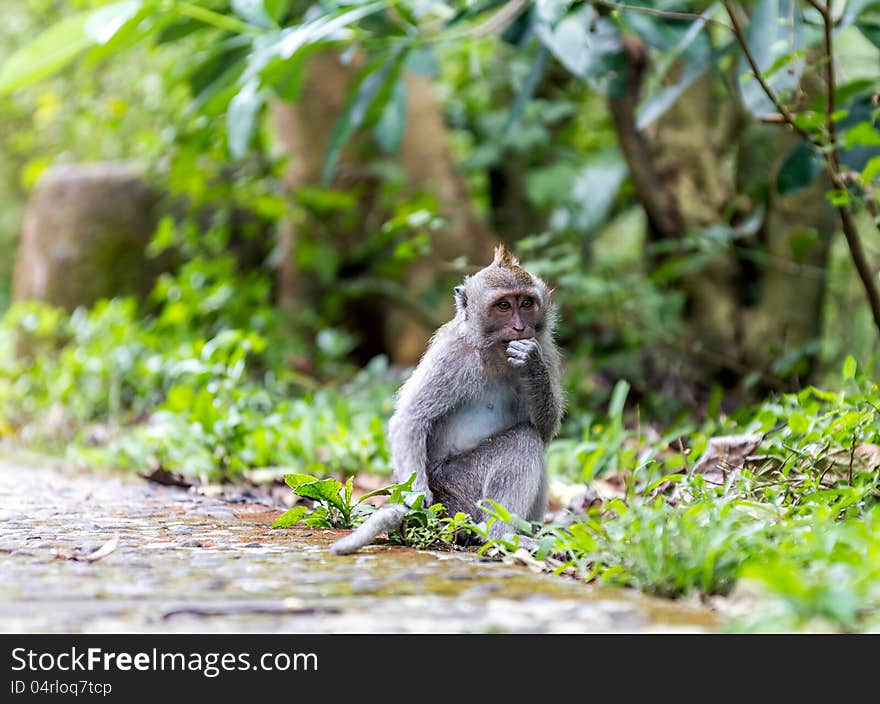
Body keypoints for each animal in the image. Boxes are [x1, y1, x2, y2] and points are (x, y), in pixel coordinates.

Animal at [330, 246, 564, 556]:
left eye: (526, 303)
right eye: (503, 306)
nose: (519, 328)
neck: (491, 353)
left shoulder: (545, 347)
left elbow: (545, 429)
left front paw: (531, 365)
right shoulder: (451, 356)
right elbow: (411, 418)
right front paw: (417, 494)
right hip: (458, 495)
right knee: (523, 440)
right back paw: (503, 535)